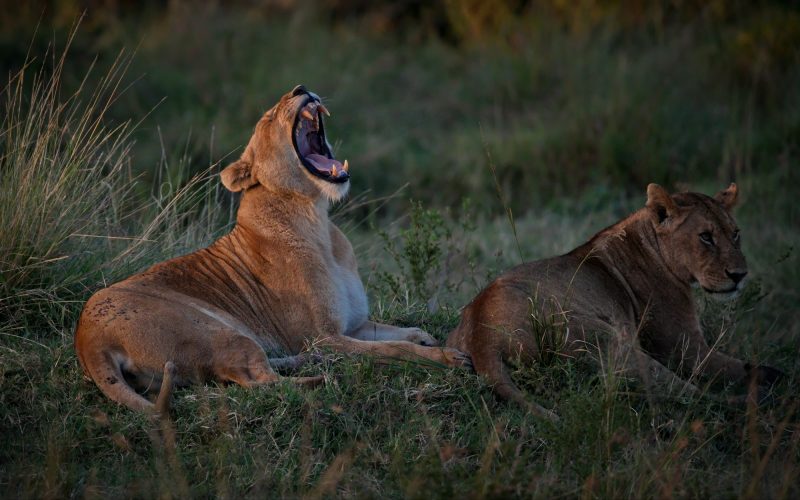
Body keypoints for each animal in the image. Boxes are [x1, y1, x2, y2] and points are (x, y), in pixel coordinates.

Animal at [75, 85, 470, 414]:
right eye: (268, 117)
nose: (300, 88)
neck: (317, 217)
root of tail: (87, 339)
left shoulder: (352, 325)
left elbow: (399, 332)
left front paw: (425, 337)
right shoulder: (324, 337)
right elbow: (394, 350)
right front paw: (448, 357)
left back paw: (308, 365)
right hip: (218, 330)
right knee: (257, 382)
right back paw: (320, 378)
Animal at [446, 183, 783, 420]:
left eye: (736, 233)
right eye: (706, 237)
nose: (740, 275)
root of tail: (482, 335)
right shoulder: (685, 350)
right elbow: (744, 368)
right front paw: (775, 378)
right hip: (615, 344)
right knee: (686, 397)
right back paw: (756, 401)